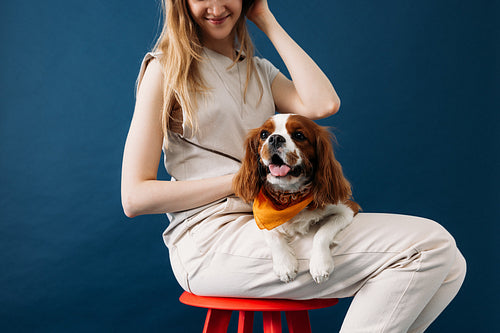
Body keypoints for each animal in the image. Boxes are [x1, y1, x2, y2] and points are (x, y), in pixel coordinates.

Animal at [233, 114, 360, 282]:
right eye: (264, 134)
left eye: (299, 135)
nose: (275, 138)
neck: (290, 196)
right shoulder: (260, 216)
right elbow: (273, 235)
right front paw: (284, 264)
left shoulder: (347, 210)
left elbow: (322, 233)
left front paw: (320, 264)